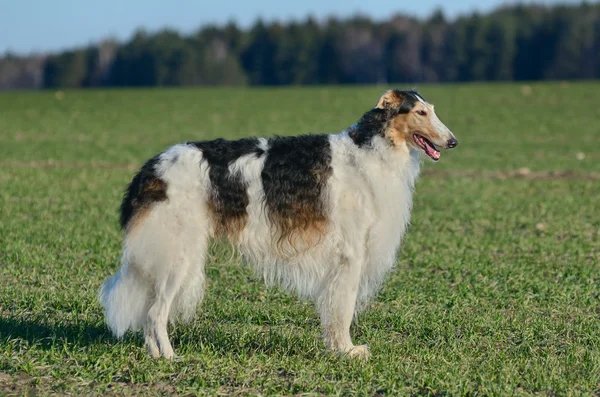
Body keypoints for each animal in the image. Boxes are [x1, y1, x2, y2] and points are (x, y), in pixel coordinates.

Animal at [98, 89, 458, 358]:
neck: (371, 147)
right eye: (420, 113)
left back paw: (158, 355)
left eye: (432, 110)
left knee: (149, 315)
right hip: (178, 255)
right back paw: (170, 358)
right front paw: (347, 350)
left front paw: (337, 348)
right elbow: (342, 309)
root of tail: (151, 167)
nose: (453, 141)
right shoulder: (351, 254)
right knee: (155, 314)